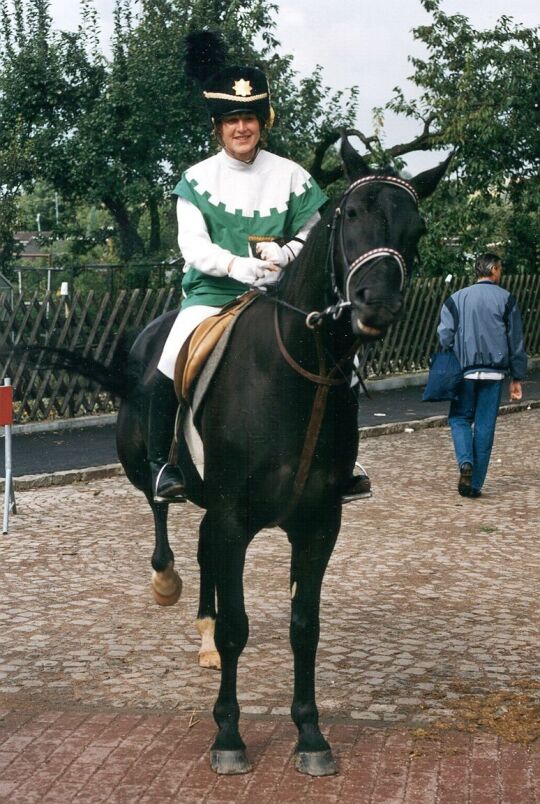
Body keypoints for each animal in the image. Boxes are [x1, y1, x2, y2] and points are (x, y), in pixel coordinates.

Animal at [17, 138, 448, 772]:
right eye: (349, 214)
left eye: (416, 228)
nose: (377, 305)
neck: (296, 372)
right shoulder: (232, 515)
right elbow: (237, 628)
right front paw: (228, 734)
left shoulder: (318, 524)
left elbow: (304, 626)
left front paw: (310, 734)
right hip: (165, 477)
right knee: (163, 517)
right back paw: (168, 582)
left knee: (202, 555)